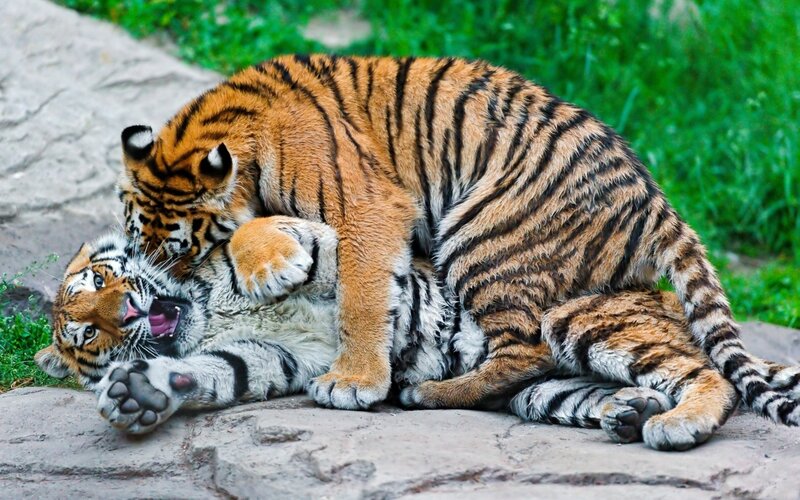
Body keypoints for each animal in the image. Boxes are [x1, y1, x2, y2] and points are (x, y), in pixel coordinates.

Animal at [41, 216, 799, 450]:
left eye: (101, 283)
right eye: (90, 339)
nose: (125, 317)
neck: (209, 309)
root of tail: (659, 297)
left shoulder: (331, 240)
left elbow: (262, 233)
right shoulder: (267, 356)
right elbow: (212, 370)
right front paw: (138, 395)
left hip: (581, 318)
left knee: (710, 376)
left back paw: (675, 423)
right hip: (547, 387)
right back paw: (631, 412)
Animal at [116, 54, 800, 425]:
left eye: (180, 249)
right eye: (139, 243)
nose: (166, 295)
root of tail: (659, 203)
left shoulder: (370, 208)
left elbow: (363, 296)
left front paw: (353, 382)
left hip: (480, 235)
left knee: (528, 350)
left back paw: (427, 391)